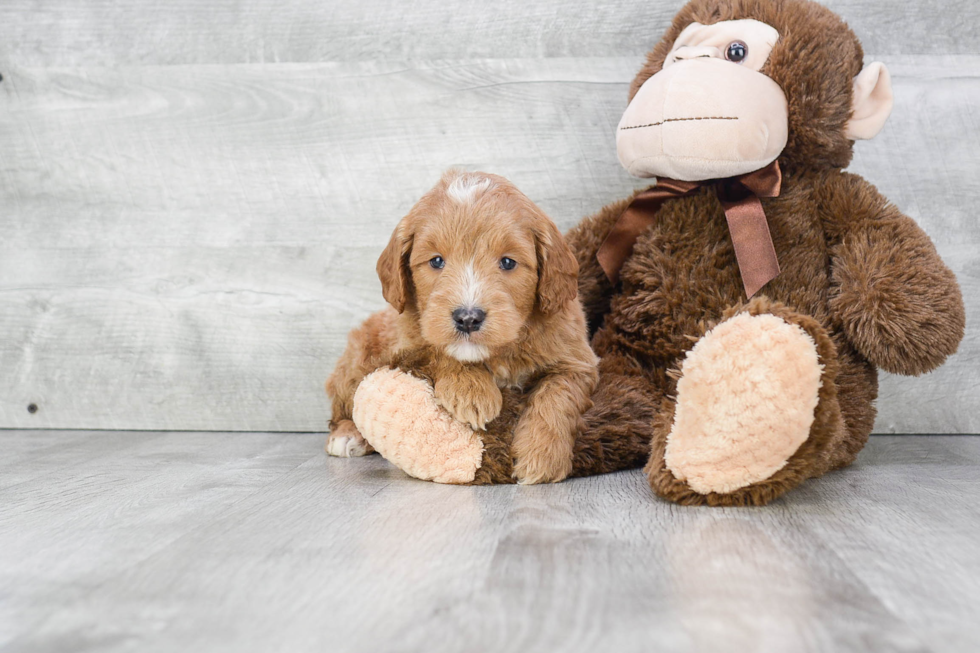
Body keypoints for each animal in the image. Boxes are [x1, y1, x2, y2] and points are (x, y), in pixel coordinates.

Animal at [326, 169, 596, 484]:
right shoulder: (410, 343)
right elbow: (438, 351)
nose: (468, 318)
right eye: (436, 261)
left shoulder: (577, 359)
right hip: (355, 362)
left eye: (508, 262)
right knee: (346, 405)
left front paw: (542, 457)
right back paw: (347, 435)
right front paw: (472, 392)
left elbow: (557, 395)